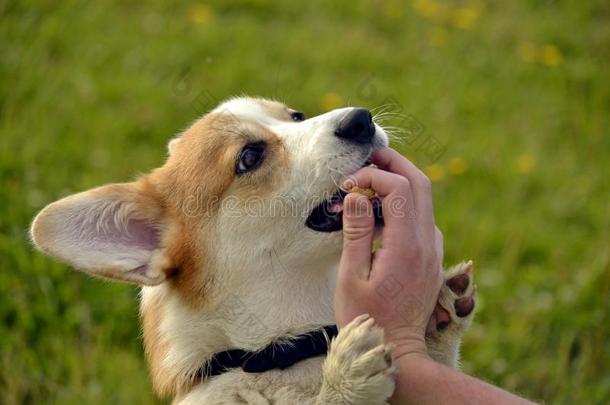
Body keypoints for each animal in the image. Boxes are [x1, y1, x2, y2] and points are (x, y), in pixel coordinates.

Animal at [29, 96, 476, 402]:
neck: (283, 352)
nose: (361, 119)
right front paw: (346, 378)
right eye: (249, 157)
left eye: (296, 116)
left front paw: (438, 321)